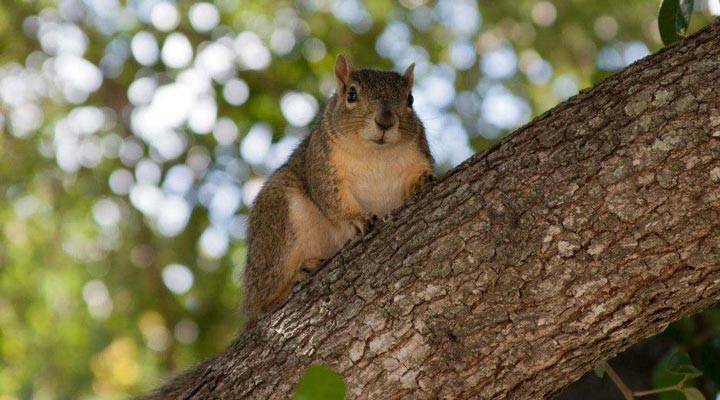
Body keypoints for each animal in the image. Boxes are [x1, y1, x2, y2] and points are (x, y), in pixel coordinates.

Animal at [242, 54, 434, 320]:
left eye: (410, 99)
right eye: (351, 94)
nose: (385, 121)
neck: (375, 153)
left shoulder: (418, 156)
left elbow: (417, 176)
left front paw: (422, 181)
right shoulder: (323, 164)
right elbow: (331, 198)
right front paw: (357, 218)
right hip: (277, 222)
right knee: (262, 299)